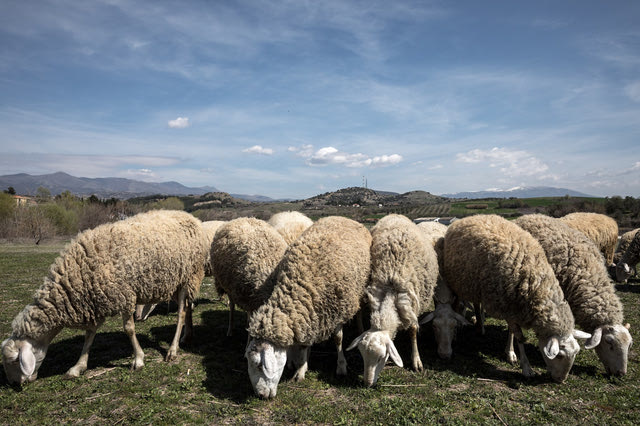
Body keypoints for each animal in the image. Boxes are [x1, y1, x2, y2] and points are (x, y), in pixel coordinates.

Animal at [1, 211, 209, 386]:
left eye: (14, 360)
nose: (14, 384)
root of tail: (191, 217)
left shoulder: (125, 294)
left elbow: (129, 329)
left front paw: (138, 360)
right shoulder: (94, 301)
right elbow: (89, 334)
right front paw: (78, 367)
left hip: (188, 276)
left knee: (181, 313)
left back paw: (172, 350)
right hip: (176, 282)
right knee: (188, 308)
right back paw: (188, 336)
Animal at [246, 216, 376, 400]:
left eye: (259, 365)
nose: (261, 395)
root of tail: (340, 217)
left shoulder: (338, 308)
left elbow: (338, 339)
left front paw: (341, 366)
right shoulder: (309, 313)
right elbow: (304, 345)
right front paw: (302, 369)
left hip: (357, 291)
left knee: (357, 312)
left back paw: (359, 327)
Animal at [442, 215, 588, 382]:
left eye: (576, 353)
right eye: (559, 356)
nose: (561, 380)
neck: (535, 283)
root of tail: (470, 217)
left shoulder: (513, 308)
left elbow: (511, 332)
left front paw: (510, 352)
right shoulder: (507, 305)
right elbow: (519, 337)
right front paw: (526, 367)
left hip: (477, 284)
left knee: (478, 304)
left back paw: (480, 324)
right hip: (458, 281)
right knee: (459, 304)